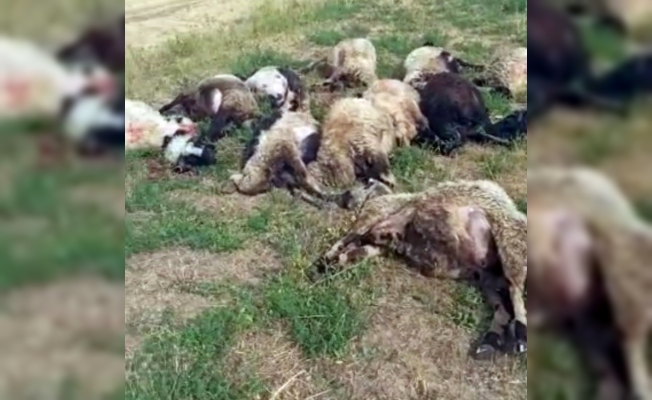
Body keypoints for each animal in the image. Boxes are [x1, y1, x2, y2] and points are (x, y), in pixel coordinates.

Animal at [310, 179, 528, 359]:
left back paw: (521, 335)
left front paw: (324, 263)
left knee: (515, 287)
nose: (344, 197)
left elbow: (351, 239)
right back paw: (490, 343)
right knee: (503, 306)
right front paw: (328, 265)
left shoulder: (385, 217)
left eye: (363, 185)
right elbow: (354, 250)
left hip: (509, 237)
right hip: (486, 275)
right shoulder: (376, 243)